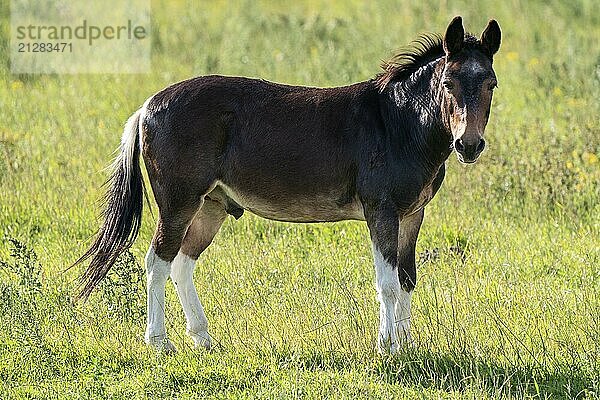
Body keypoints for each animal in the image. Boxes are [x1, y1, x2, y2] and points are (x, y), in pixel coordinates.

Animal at [75, 16, 500, 354]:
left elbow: (408, 279)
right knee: (157, 261)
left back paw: (203, 339)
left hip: (212, 205)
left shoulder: (412, 214)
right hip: (179, 201)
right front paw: (386, 349)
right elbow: (388, 283)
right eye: (447, 82)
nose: (469, 145)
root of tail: (146, 108)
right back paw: (161, 343)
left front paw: (407, 345)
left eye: (491, 84)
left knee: (182, 262)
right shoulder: (381, 211)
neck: (397, 123)